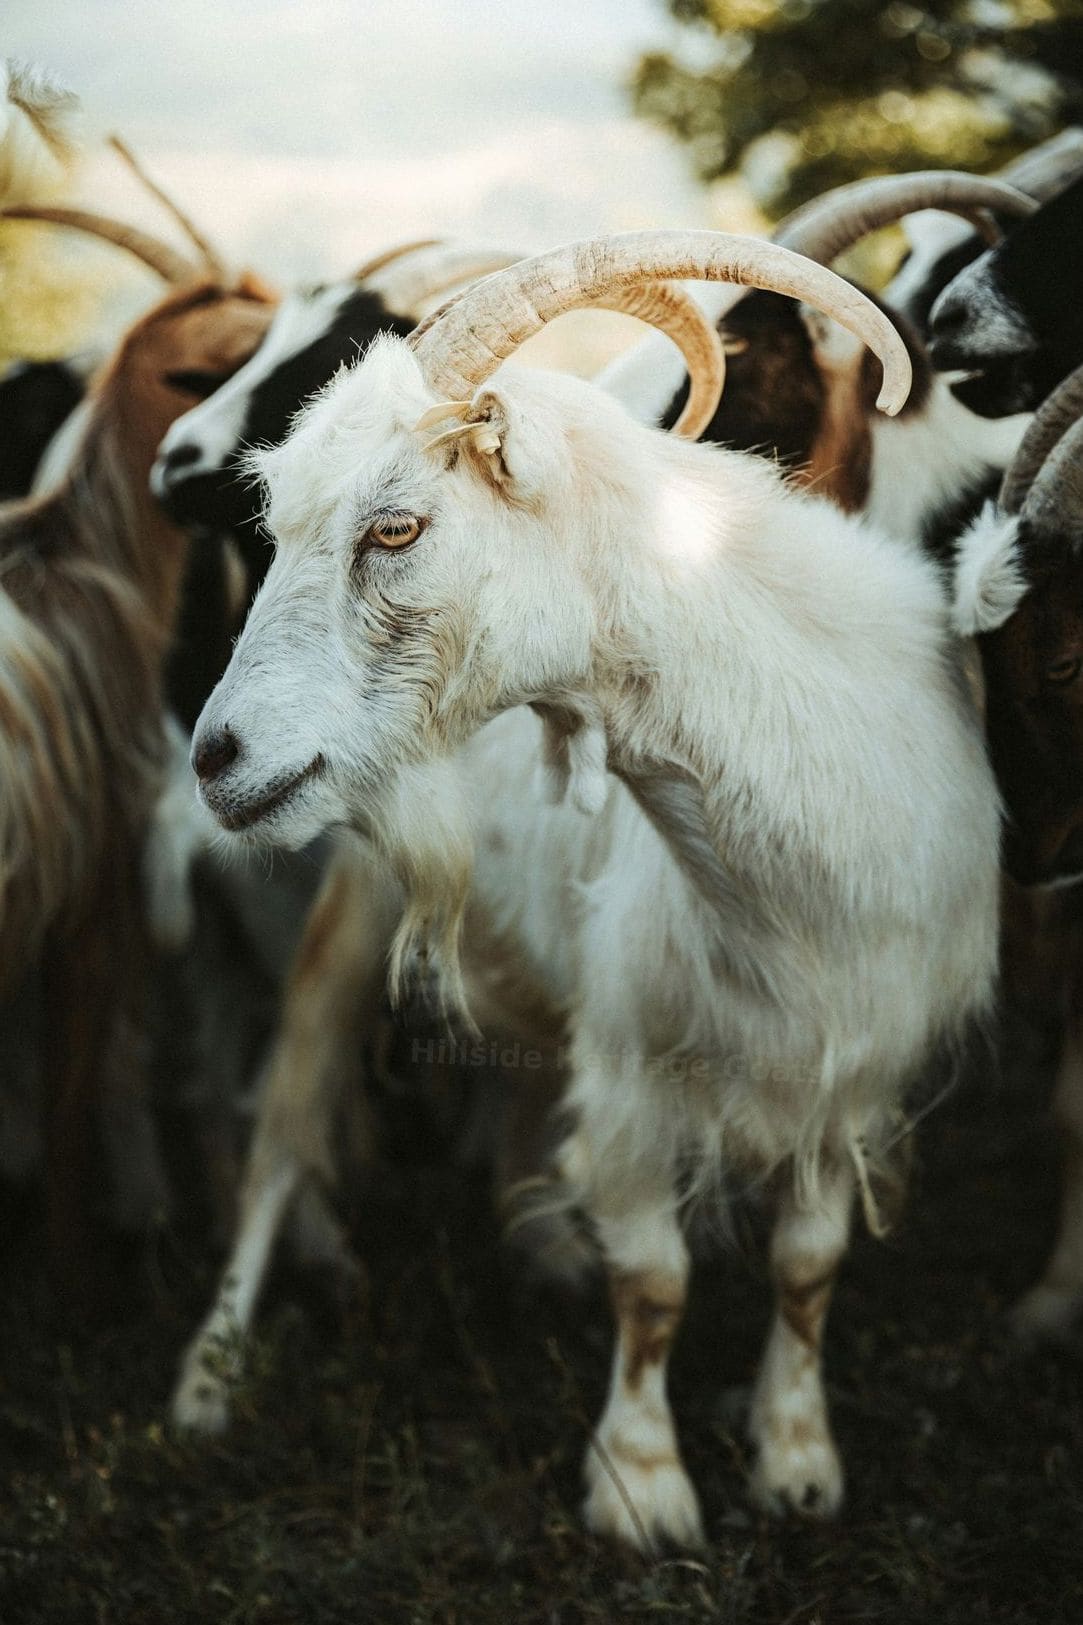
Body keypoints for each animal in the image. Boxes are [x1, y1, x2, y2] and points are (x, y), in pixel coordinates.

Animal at [186, 231, 1000, 1552]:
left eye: (395, 527)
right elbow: (655, 1280)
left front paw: (797, 1459)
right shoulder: (633, 1067)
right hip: (347, 911)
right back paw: (206, 1382)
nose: (219, 756)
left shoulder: (851, 1061)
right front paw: (642, 1489)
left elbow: (811, 1262)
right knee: (280, 1131)